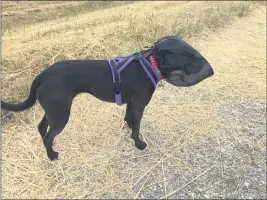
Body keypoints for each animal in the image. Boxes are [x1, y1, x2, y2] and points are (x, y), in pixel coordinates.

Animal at [0, 36, 214, 161]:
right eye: (189, 56)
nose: (211, 70)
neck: (150, 62)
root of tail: (42, 74)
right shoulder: (139, 105)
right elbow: (137, 128)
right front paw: (139, 144)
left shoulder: (131, 104)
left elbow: (129, 120)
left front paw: (129, 131)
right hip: (61, 114)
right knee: (48, 136)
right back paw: (52, 155)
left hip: (54, 110)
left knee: (42, 128)